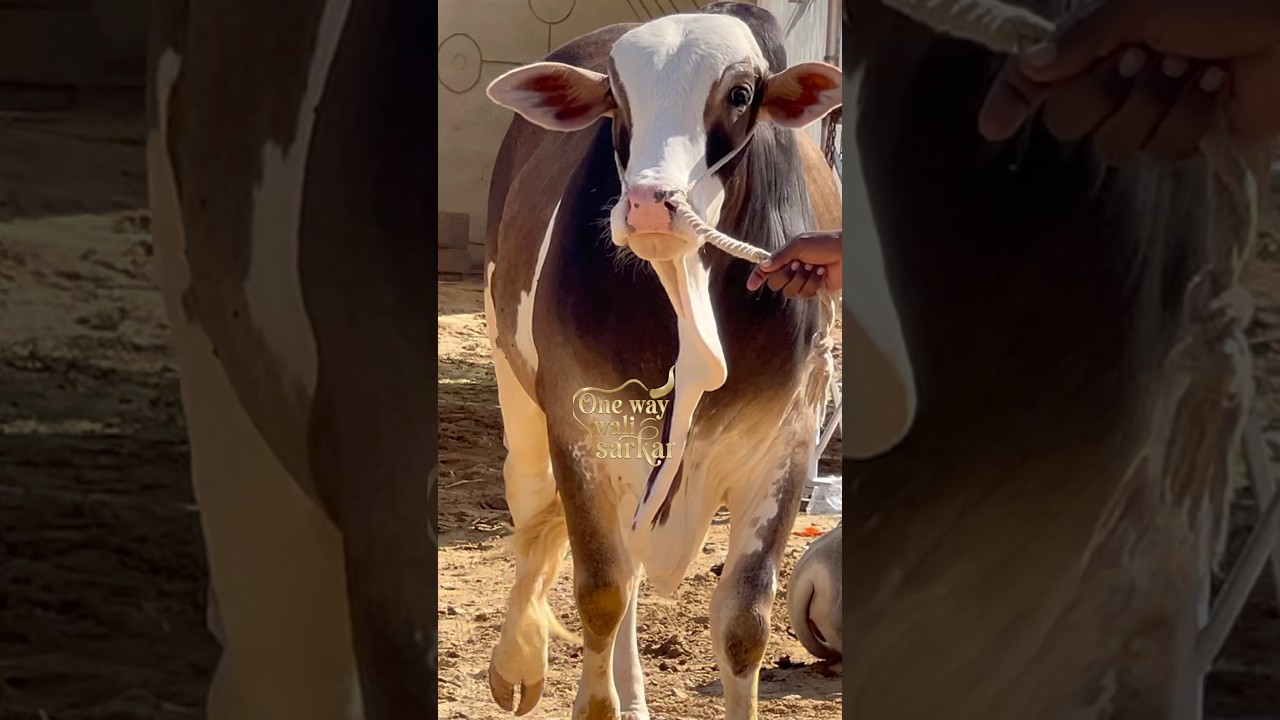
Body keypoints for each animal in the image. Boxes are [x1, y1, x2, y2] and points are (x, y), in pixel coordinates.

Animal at [481, 3, 913, 719]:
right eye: (615, 96)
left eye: (739, 94)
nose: (650, 204)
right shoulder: (579, 435)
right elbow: (600, 593)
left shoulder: (787, 447)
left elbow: (742, 620)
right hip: (515, 385)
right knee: (535, 505)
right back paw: (519, 662)